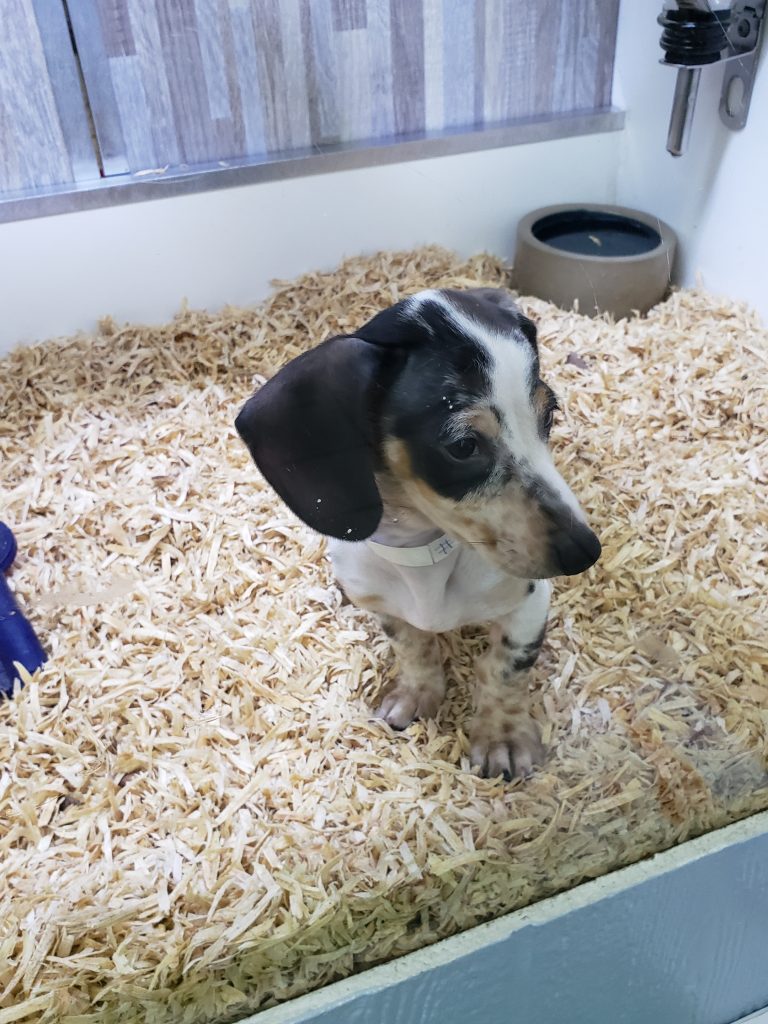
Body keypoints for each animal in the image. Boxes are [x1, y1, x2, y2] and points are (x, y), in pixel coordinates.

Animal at [236, 284, 602, 778]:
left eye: (549, 416)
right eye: (463, 446)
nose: (585, 551)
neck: (423, 554)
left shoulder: (530, 603)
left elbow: (505, 667)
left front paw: (502, 735)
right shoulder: (384, 605)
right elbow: (412, 648)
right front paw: (415, 692)